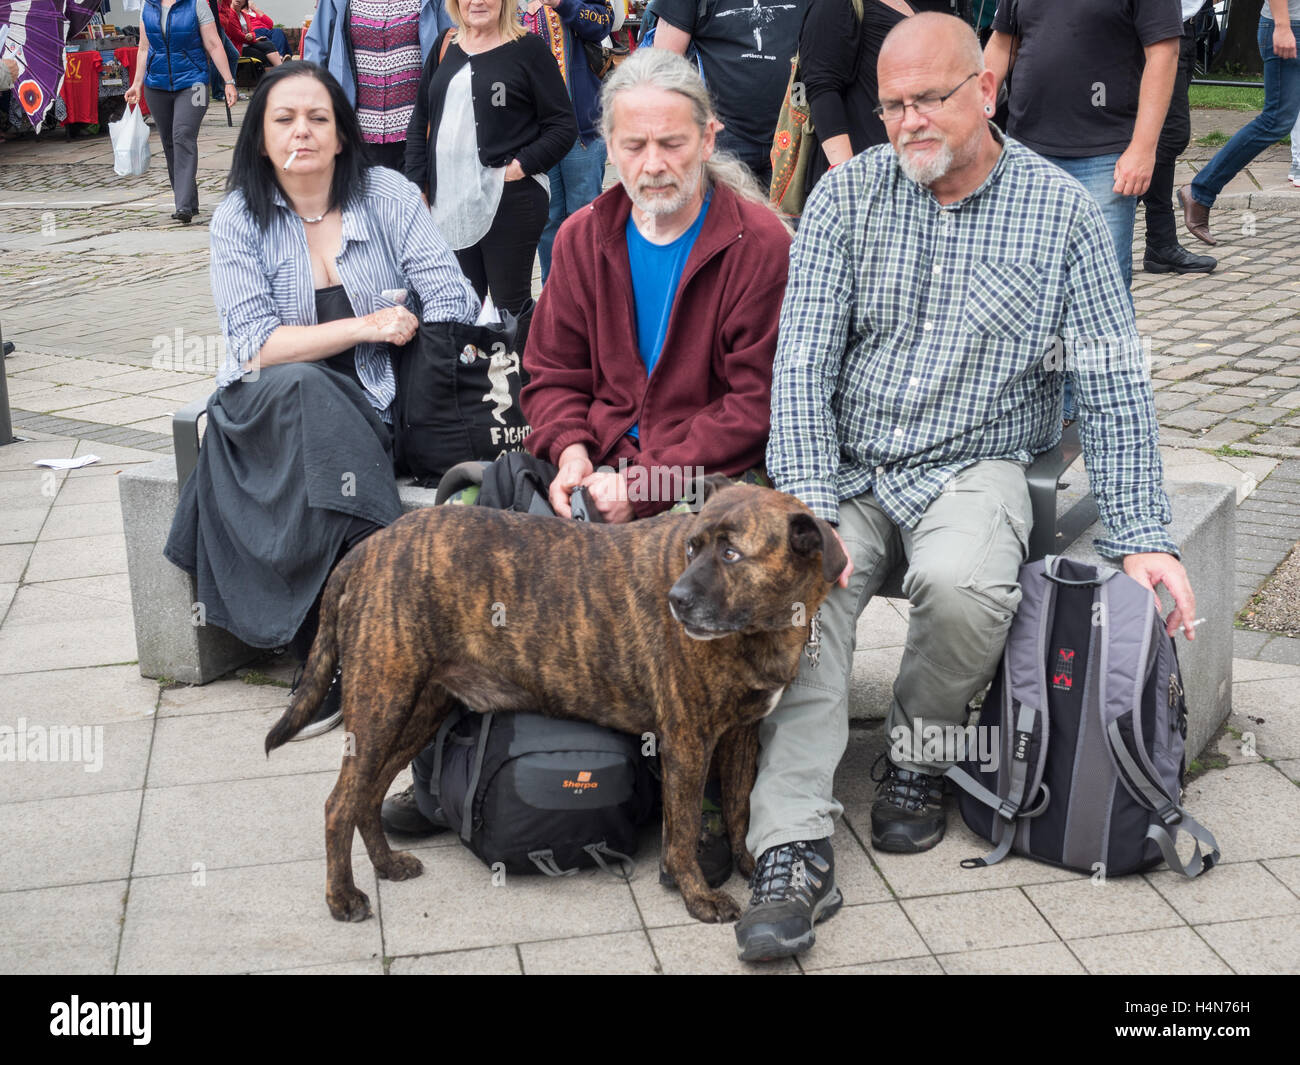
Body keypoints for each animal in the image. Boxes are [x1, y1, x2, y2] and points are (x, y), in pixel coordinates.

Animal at [269, 475, 847, 925]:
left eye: (731, 554)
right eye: (692, 547)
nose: (676, 600)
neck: (759, 630)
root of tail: (368, 548)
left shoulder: (741, 736)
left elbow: (738, 808)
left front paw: (751, 866)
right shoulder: (687, 743)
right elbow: (682, 832)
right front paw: (698, 897)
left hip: (416, 710)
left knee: (366, 795)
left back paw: (387, 865)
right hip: (382, 704)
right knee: (339, 803)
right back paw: (342, 897)